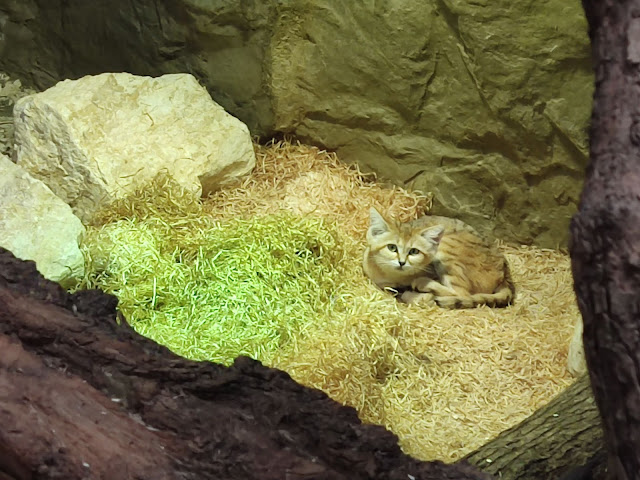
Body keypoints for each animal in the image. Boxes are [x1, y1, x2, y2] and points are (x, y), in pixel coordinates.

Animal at [362, 207, 515, 308]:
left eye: (414, 251)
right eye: (392, 247)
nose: (401, 262)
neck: (397, 278)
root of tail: (505, 273)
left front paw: (420, 295)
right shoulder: (380, 282)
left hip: (447, 245)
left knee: (462, 294)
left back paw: (424, 283)